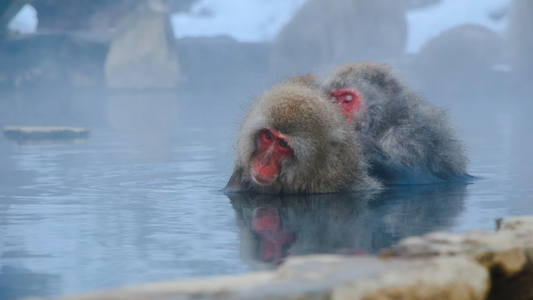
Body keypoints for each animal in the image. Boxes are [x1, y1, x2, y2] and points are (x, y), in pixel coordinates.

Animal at [324, 61, 470, 185]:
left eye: (347, 99)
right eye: (333, 98)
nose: (336, 113)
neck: (385, 121)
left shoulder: (409, 135)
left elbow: (416, 177)